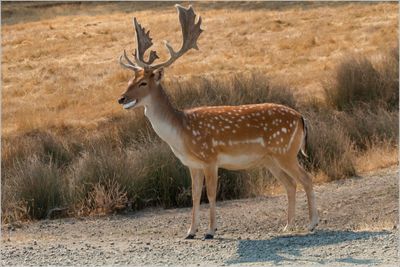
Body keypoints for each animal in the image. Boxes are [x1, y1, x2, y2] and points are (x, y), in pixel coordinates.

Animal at [116, 4, 318, 240]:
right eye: (129, 80)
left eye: (143, 83)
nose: (121, 98)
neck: (181, 132)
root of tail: (301, 118)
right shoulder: (192, 164)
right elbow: (194, 196)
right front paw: (190, 231)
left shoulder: (210, 158)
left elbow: (211, 194)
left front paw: (211, 231)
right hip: (270, 159)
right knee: (291, 184)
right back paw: (287, 226)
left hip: (285, 151)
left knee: (306, 178)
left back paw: (312, 223)